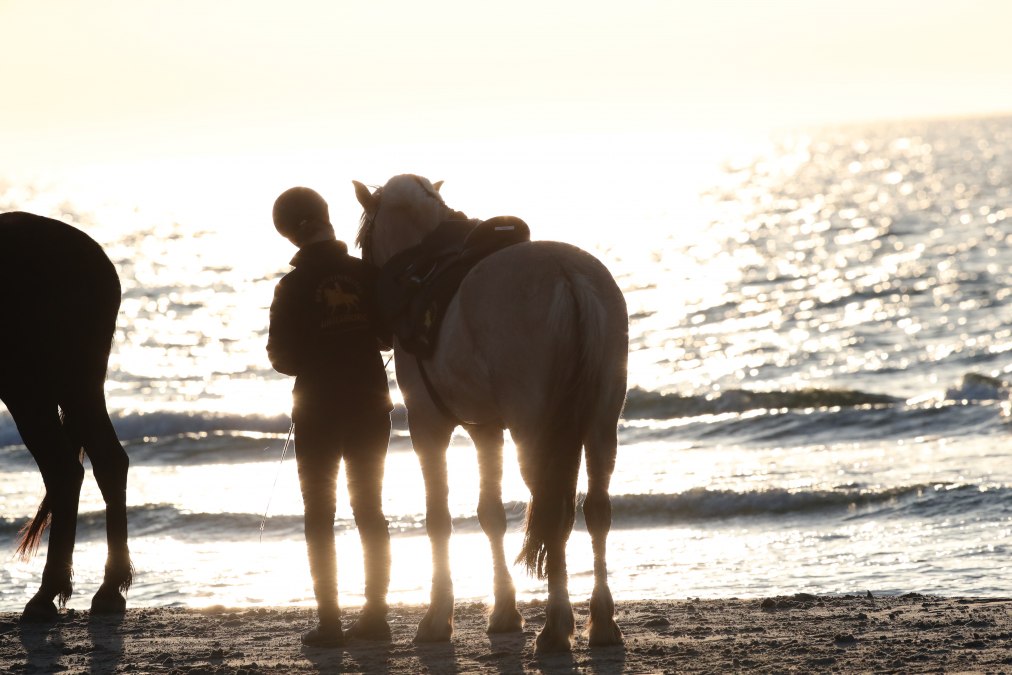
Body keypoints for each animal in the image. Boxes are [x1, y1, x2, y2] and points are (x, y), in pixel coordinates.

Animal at [353, 175, 628, 653]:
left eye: (363, 238)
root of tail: (568, 276)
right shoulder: (485, 429)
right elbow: (491, 514)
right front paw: (503, 611)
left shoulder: (429, 425)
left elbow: (439, 519)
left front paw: (437, 616)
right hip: (600, 423)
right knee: (596, 509)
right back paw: (601, 622)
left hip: (534, 430)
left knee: (554, 513)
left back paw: (556, 625)